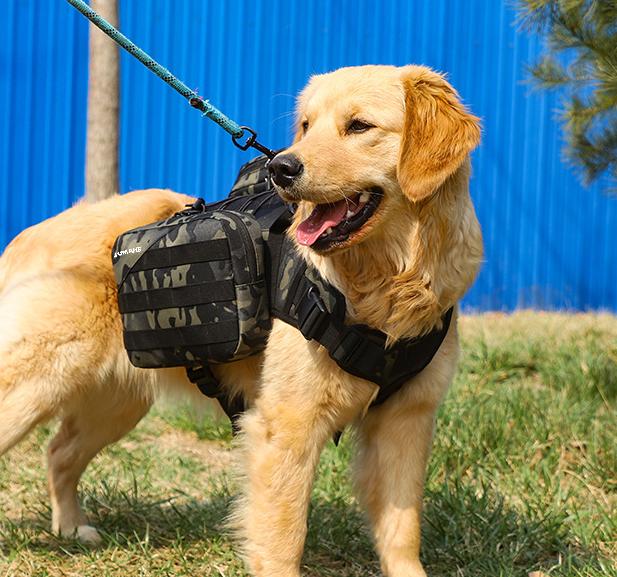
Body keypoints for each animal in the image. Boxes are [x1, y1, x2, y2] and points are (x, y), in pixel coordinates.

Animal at [0, 64, 482, 576]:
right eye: (307, 125)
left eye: (359, 126)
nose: (281, 168)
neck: (386, 283)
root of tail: (30, 235)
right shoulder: (286, 425)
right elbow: (284, 536)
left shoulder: (407, 419)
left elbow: (402, 528)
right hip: (34, 387)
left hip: (115, 402)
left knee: (59, 452)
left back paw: (72, 528)